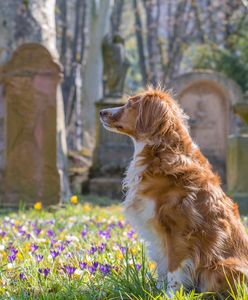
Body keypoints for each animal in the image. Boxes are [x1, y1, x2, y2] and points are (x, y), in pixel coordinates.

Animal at [99, 86, 248, 296]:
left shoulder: (178, 230)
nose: (101, 112)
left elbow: (174, 268)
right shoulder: (159, 234)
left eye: (129, 104)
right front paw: (156, 292)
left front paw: (170, 295)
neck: (159, 151)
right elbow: (162, 266)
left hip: (221, 266)